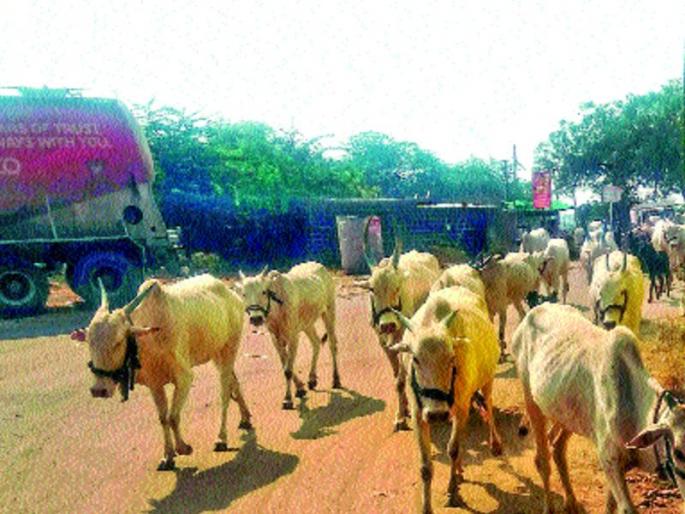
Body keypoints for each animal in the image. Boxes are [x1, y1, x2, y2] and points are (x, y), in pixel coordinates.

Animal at [71, 275, 253, 471]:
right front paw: (168, 457)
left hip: (230, 348)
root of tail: (231, 294)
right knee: (234, 381)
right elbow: (163, 418)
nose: (99, 390)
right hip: (216, 353)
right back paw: (246, 418)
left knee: (225, 393)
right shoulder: (155, 384)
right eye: (89, 342)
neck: (149, 340)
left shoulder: (184, 378)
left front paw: (183, 448)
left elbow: (173, 417)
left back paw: (222, 438)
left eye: (118, 342)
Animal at [235, 262, 341, 410]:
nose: (256, 318)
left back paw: (336, 380)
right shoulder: (275, 338)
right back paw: (312, 379)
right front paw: (300, 388)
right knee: (316, 343)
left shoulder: (293, 337)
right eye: (244, 294)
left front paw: (287, 399)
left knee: (332, 344)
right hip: (307, 324)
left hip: (329, 312)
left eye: (263, 292)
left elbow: (288, 370)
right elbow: (285, 365)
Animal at [360, 240, 440, 431]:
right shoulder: (385, 345)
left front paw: (401, 415)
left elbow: (400, 380)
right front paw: (402, 412)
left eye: (397, 287)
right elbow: (397, 379)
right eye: (372, 289)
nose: (387, 324)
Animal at [391, 286, 503, 513]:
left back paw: (494, 443)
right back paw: (459, 468)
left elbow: (453, 448)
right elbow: (425, 466)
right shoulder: (418, 414)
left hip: (487, 380)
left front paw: (452, 493)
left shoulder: (461, 408)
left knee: (488, 405)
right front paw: (426, 507)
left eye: (452, 358)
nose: (437, 414)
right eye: (415, 358)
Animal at [512, 303, 685, 514]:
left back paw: (571, 502)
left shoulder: (615, 465)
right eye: (678, 453)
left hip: (567, 411)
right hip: (531, 398)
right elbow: (626, 509)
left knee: (558, 448)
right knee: (542, 459)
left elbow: (611, 504)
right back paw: (549, 507)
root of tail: (537, 309)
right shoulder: (610, 459)